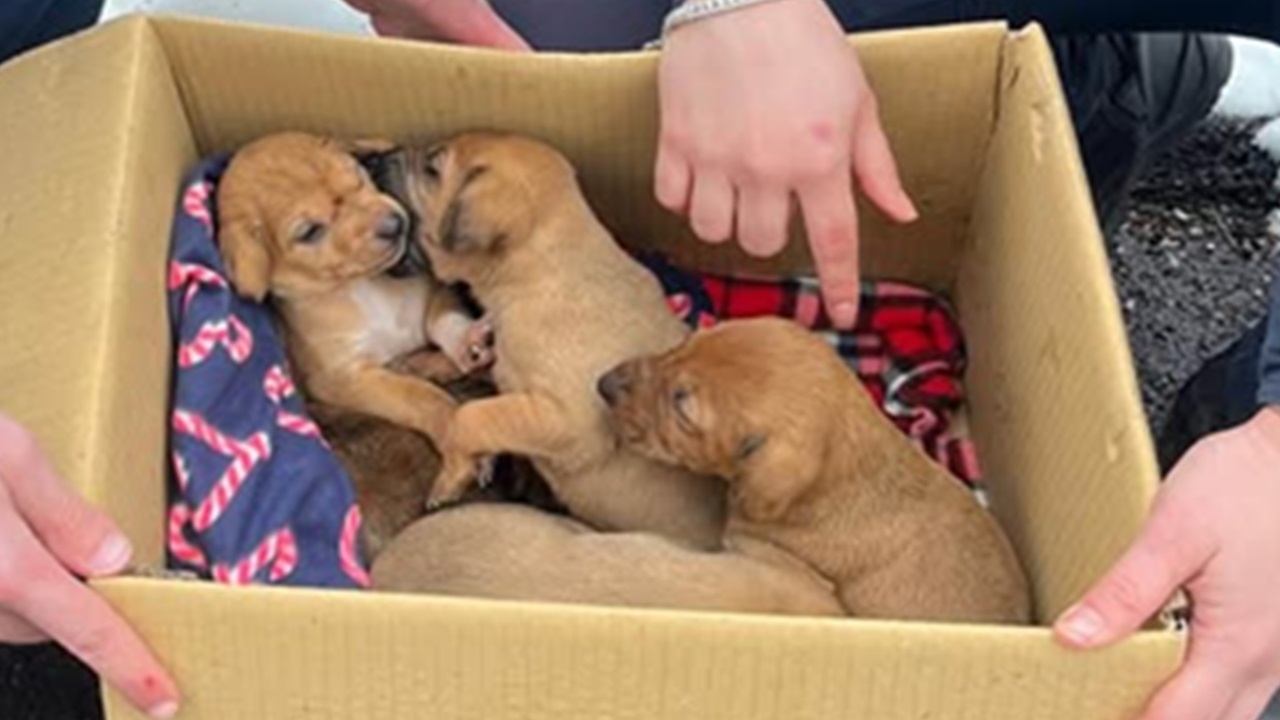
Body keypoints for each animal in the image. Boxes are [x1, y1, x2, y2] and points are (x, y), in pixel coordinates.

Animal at [215, 128, 494, 443]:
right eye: (310, 232)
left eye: (358, 174)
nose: (395, 224)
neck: (362, 287)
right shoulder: (345, 378)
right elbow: (415, 395)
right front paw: (449, 420)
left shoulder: (434, 292)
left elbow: (444, 321)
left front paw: (467, 342)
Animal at [386, 131, 732, 545]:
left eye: (433, 169)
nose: (376, 158)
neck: (538, 272)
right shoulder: (507, 367)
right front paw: (420, 364)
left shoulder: (564, 420)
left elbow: (471, 416)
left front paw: (451, 477)